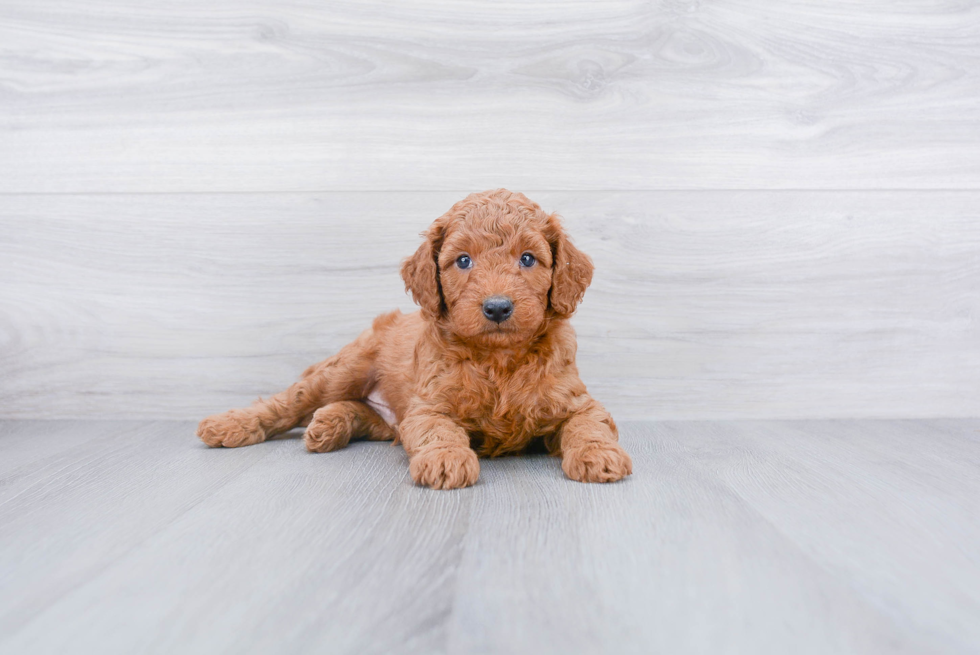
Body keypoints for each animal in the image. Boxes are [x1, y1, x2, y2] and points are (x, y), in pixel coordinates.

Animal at [197, 187, 636, 490]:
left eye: (528, 259)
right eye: (463, 261)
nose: (497, 308)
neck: (498, 359)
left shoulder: (577, 401)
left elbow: (589, 425)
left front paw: (599, 456)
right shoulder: (429, 406)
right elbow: (438, 431)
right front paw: (445, 460)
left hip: (384, 417)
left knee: (362, 413)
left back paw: (328, 425)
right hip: (345, 368)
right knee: (288, 402)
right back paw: (230, 425)